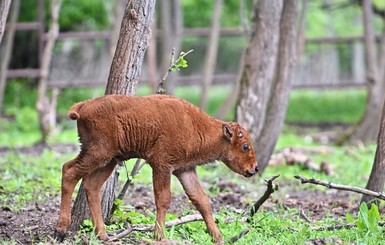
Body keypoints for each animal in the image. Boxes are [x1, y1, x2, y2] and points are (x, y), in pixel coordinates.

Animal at [54, 94, 258, 243]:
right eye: (245, 146)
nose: (255, 169)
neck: (196, 126)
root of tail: (83, 106)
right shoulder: (162, 165)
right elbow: (163, 199)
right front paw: (160, 236)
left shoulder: (185, 169)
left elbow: (201, 201)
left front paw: (218, 237)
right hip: (98, 153)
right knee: (69, 172)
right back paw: (61, 230)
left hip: (109, 160)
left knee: (91, 185)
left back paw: (103, 235)